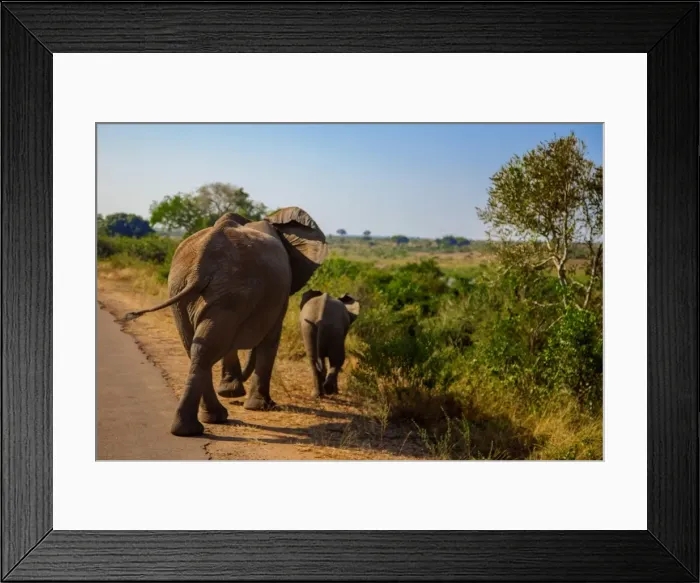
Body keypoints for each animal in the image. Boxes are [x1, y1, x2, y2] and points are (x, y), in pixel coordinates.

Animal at [122, 207, 328, 436]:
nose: (233, 390)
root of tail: (200, 265)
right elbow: (270, 340)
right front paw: (262, 406)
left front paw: (232, 393)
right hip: (223, 290)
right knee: (206, 348)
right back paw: (198, 425)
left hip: (193, 290)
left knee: (197, 347)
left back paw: (202, 422)